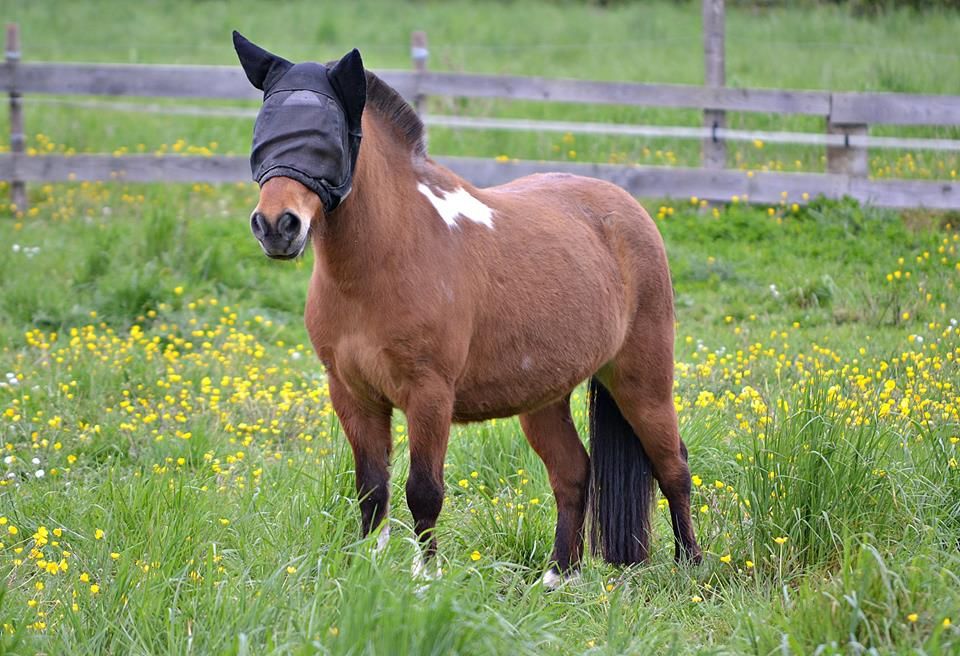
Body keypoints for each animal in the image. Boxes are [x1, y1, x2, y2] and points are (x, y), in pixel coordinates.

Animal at [232, 32, 702, 586]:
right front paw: (366, 573)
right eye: (265, 129)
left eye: (326, 137)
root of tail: (628, 209)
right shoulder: (352, 395)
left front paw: (425, 580)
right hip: (544, 398)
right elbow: (372, 488)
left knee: (673, 466)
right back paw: (557, 578)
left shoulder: (429, 395)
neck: (384, 258)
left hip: (641, 380)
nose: (276, 225)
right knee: (573, 472)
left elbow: (423, 491)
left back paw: (691, 569)